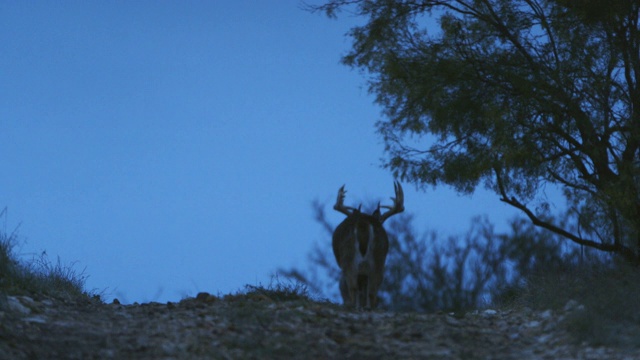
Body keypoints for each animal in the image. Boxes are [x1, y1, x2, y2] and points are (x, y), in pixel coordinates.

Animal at [332, 181, 402, 310]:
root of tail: (363, 222)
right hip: (379, 259)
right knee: (372, 290)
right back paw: (368, 307)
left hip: (348, 258)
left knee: (354, 288)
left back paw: (353, 306)